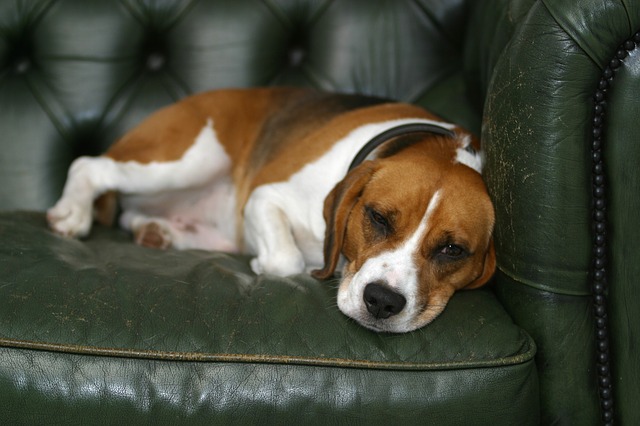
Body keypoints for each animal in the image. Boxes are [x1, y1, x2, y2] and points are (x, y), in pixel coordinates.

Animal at [48, 86, 496, 332]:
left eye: (453, 250)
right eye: (378, 218)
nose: (382, 302)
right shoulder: (265, 196)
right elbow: (286, 260)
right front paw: (268, 264)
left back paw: (157, 231)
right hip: (187, 160)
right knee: (89, 166)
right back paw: (72, 213)